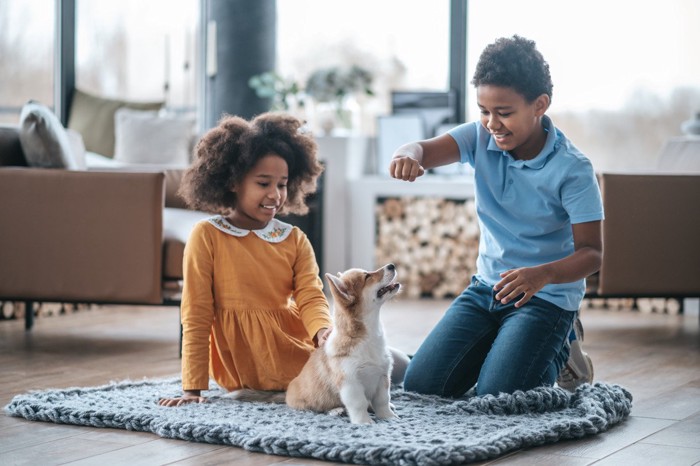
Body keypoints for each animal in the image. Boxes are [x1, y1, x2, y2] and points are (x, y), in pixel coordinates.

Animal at [231, 264, 400, 424]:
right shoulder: (350, 383)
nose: (392, 265)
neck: (368, 335)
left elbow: (383, 401)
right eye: (367, 276)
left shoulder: (382, 376)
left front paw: (390, 418)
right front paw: (364, 423)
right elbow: (359, 404)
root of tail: (286, 393)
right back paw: (336, 410)